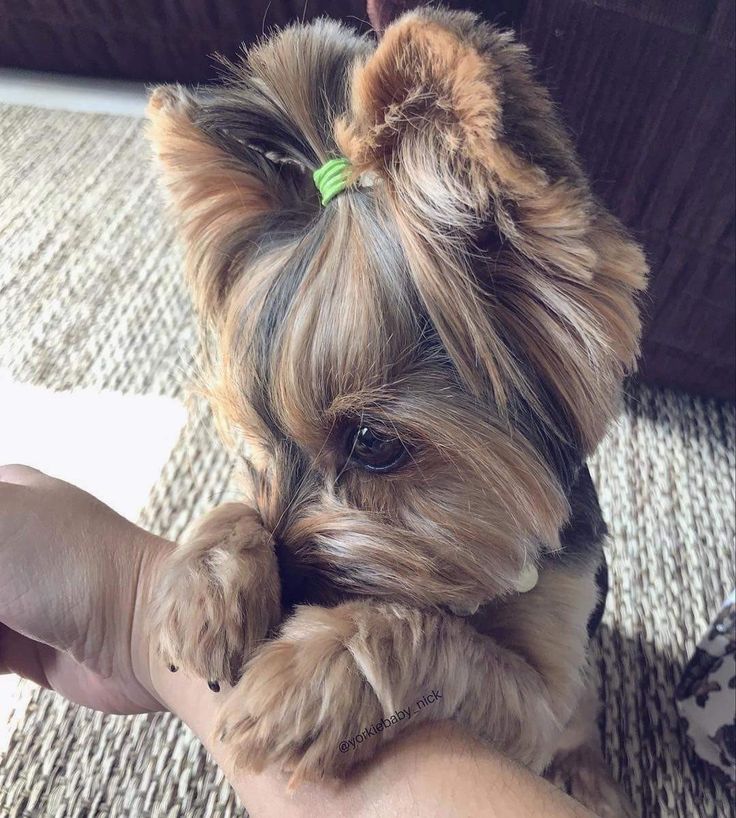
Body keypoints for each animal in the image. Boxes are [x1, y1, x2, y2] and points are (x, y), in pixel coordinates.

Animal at [148, 7, 644, 816]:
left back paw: (590, 779)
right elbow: (237, 508)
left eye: (373, 442)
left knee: (583, 720)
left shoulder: (538, 700)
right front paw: (205, 585)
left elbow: (438, 635)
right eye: (255, 439)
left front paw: (313, 674)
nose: (290, 588)